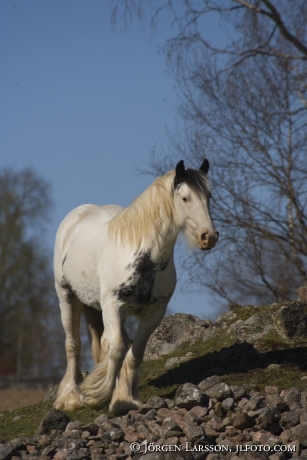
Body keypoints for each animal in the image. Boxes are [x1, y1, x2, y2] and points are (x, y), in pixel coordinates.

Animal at [54, 160, 220, 416]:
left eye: (208, 196)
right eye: (185, 198)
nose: (208, 237)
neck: (143, 256)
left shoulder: (154, 314)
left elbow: (134, 353)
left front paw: (123, 399)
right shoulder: (112, 306)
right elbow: (116, 349)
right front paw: (97, 397)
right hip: (67, 298)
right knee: (73, 346)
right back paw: (70, 398)